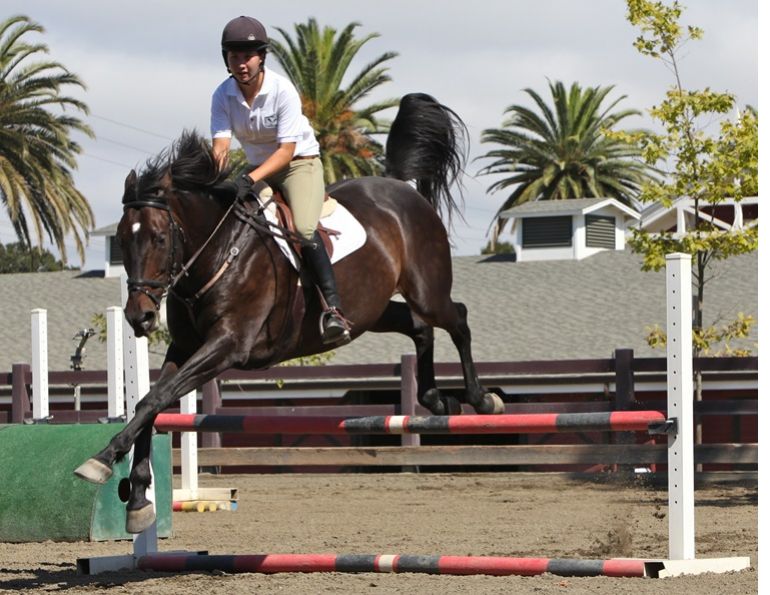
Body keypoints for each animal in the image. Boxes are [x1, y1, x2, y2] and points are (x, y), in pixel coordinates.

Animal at [73, 93, 504, 536]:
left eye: (159, 238)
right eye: (121, 241)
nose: (139, 317)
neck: (217, 251)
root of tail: (401, 187)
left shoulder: (228, 345)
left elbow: (156, 398)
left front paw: (102, 461)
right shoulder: (185, 346)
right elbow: (151, 401)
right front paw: (138, 497)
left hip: (426, 291)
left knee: (457, 318)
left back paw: (482, 399)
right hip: (373, 311)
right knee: (420, 328)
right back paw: (436, 399)